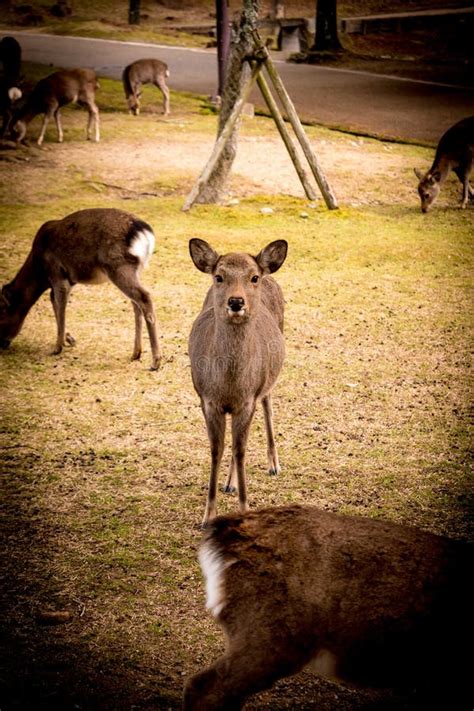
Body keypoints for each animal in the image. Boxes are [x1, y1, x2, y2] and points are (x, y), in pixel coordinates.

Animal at [0, 207, 162, 370]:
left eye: (1, 312)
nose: (2, 344)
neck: (40, 272)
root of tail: (144, 231)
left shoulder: (57, 274)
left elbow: (60, 305)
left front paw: (57, 348)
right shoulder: (67, 281)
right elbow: (55, 303)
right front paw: (69, 339)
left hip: (118, 266)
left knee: (144, 297)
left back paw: (155, 361)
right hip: (135, 270)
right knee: (136, 304)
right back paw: (136, 353)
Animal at [188, 239, 286, 528]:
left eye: (253, 278)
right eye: (219, 276)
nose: (235, 301)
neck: (230, 385)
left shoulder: (247, 401)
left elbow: (241, 450)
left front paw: (244, 512)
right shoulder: (208, 400)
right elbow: (217, 450)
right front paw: (208, 517)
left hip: (267, 381)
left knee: (268, 405)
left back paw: (274, 465)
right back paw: (229, 483)